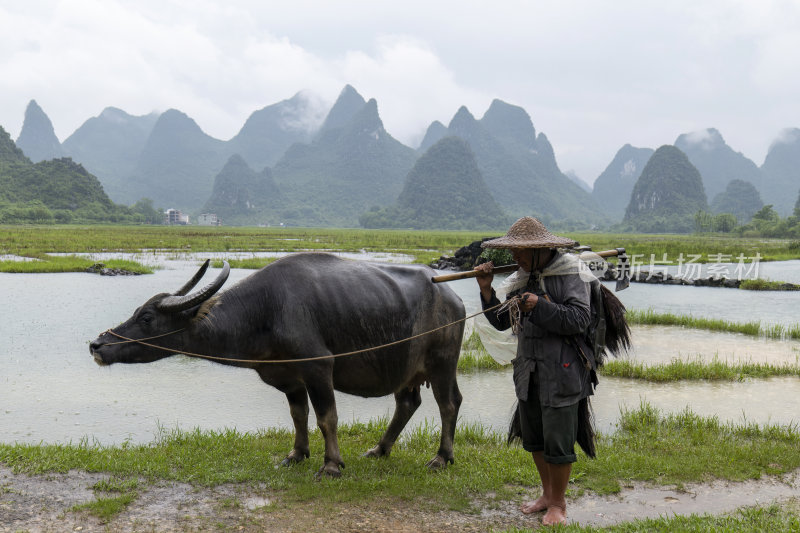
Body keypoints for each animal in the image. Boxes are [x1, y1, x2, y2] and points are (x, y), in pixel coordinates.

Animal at [90, 251, 466, 476]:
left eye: (147, 317)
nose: (97, 344)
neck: (265, 311)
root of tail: (453, 297)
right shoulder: (289, 379)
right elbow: (298, 415)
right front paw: (296, 454)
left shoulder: (319, 369)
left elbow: (327, 418)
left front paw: (331, 465)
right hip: (408, 369)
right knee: (409, 402)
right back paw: (380, 448)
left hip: (443, 362)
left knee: (448, 403)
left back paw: (441, 457)